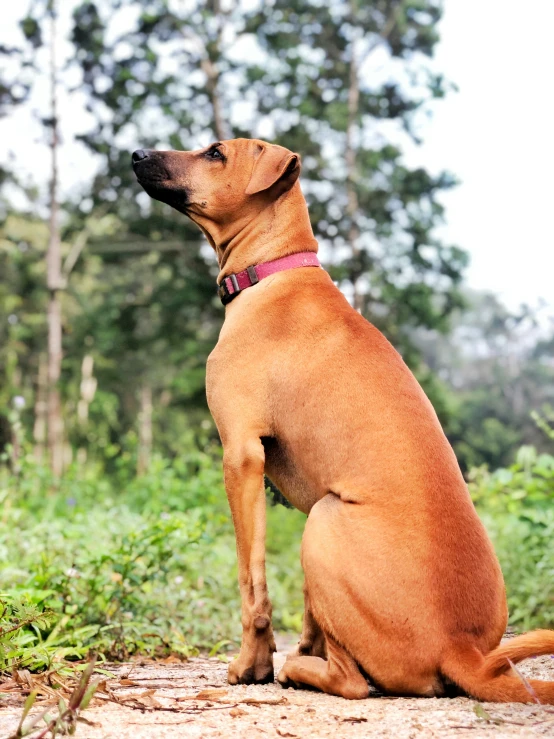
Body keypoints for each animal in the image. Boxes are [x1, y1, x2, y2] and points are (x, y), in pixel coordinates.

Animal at [132, 137, 552, 700]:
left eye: (215, 153)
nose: (135, 154)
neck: (274, 271)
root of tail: (461, 650)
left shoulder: (240, 455)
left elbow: (252, 582)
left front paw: (251, 665)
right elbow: (308, 611)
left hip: (325, 521)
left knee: (354, 683)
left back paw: (297, 670)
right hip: (320, 518)